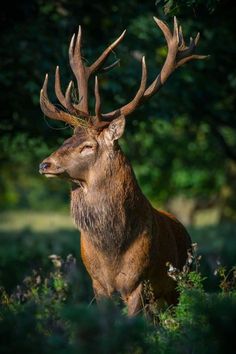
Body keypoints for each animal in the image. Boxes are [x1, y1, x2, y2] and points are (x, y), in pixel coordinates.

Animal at [38, 17, 206, 316]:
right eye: (67, 139)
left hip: (178, 283)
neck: (111, 249)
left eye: (88, 146)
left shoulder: (137, 282)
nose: (44, 164)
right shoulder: (97, 283)